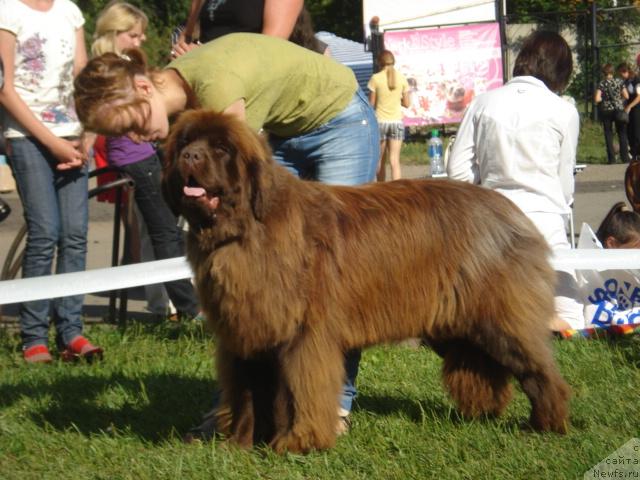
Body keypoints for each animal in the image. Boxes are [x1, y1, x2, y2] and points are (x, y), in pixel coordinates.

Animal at [164, 110, 568, 452]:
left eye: (221, 148)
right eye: (184, 143)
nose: (190, 157)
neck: (246, 231)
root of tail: (510, 210)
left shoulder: (301, 335)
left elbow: (297, 389)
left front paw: (297, 442)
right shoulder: (245, 332)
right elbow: (247, 392)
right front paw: (239, 446)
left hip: (495, 318)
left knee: (536, 369)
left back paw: (544, 424)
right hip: (454, 323)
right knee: (484, 364)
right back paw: (483, 413)